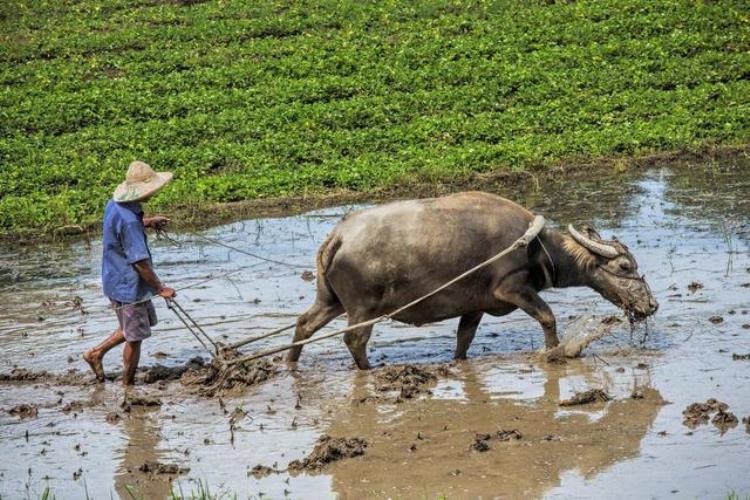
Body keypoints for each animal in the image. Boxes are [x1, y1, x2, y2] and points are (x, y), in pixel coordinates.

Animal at [288, 191, 656, 368]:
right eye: (624, 266)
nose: (651, 304)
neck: (536, 246)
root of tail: (337, 237)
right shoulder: (512, 288)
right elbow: (547, 317)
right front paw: (555, 352)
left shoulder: (475, 306)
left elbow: (464, 339)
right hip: (363, 309)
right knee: (354, 340)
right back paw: (368, 369)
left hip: (330, 301)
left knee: (305, 323)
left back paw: (291, 363)